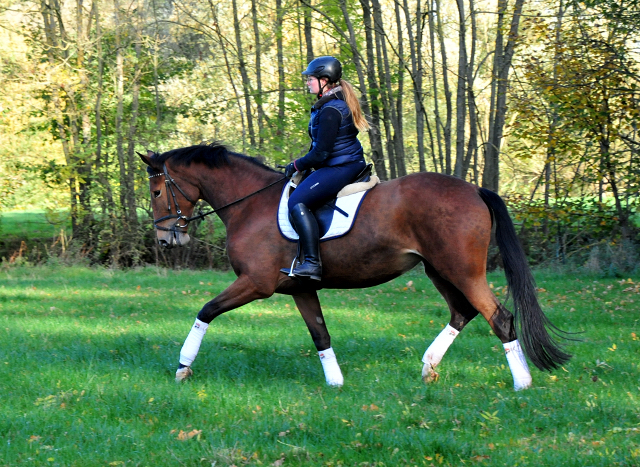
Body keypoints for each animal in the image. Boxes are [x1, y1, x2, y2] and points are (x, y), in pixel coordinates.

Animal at [140, 143, 568, 392]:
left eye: (158, 191)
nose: (165, 240)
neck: (250, 203)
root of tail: (474, 190)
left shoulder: (256, 283)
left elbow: (206, 311)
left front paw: (183, 367)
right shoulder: (300, 288)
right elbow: (320, 334)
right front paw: (336, 383)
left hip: (462, 271)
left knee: (499, 318)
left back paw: (522, 383)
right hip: (438, 270)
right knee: (462, 312)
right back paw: (429, 368)